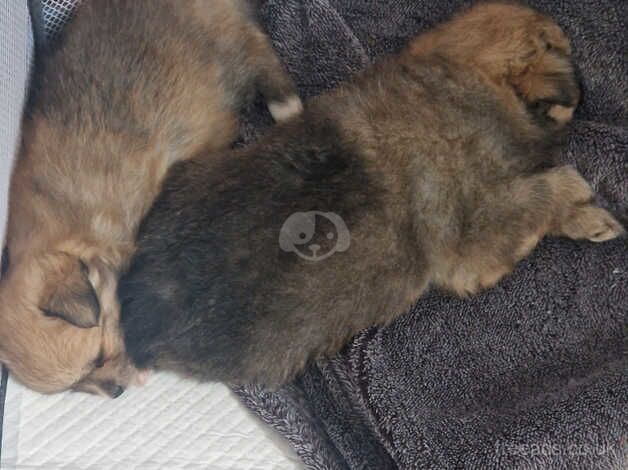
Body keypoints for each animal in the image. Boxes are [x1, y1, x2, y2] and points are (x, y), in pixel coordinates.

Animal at [0, 0, 302, 396]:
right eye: (79, 385)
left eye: (98, 357)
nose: (116, 393)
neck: (63, 232)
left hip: (226, 42)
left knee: (258, 51)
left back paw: (288, 106)